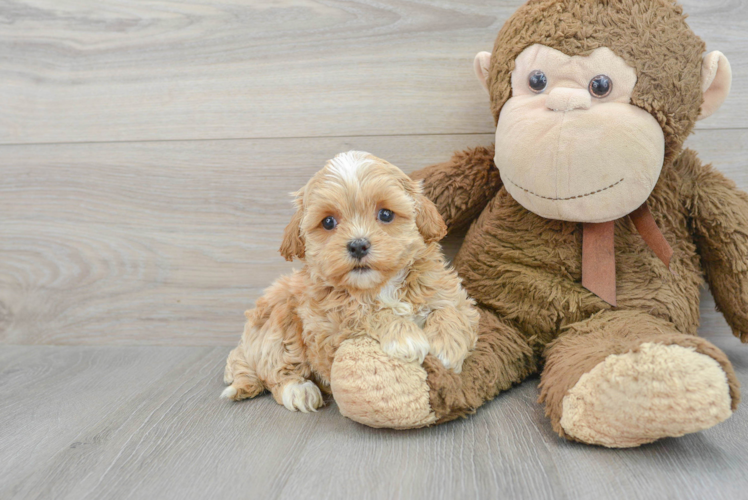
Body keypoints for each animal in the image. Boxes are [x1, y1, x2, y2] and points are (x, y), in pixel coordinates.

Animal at [222, 150, 480, 412]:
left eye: (386, 214)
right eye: (328, 222)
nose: (358, 245)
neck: (380, 286)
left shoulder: (449, 292)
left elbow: (450, 309)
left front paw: (446, 347)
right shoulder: (327, 332)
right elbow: (364, 313)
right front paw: (405, 336)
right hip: (279, 315)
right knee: (276, 369)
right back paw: (299, 390)